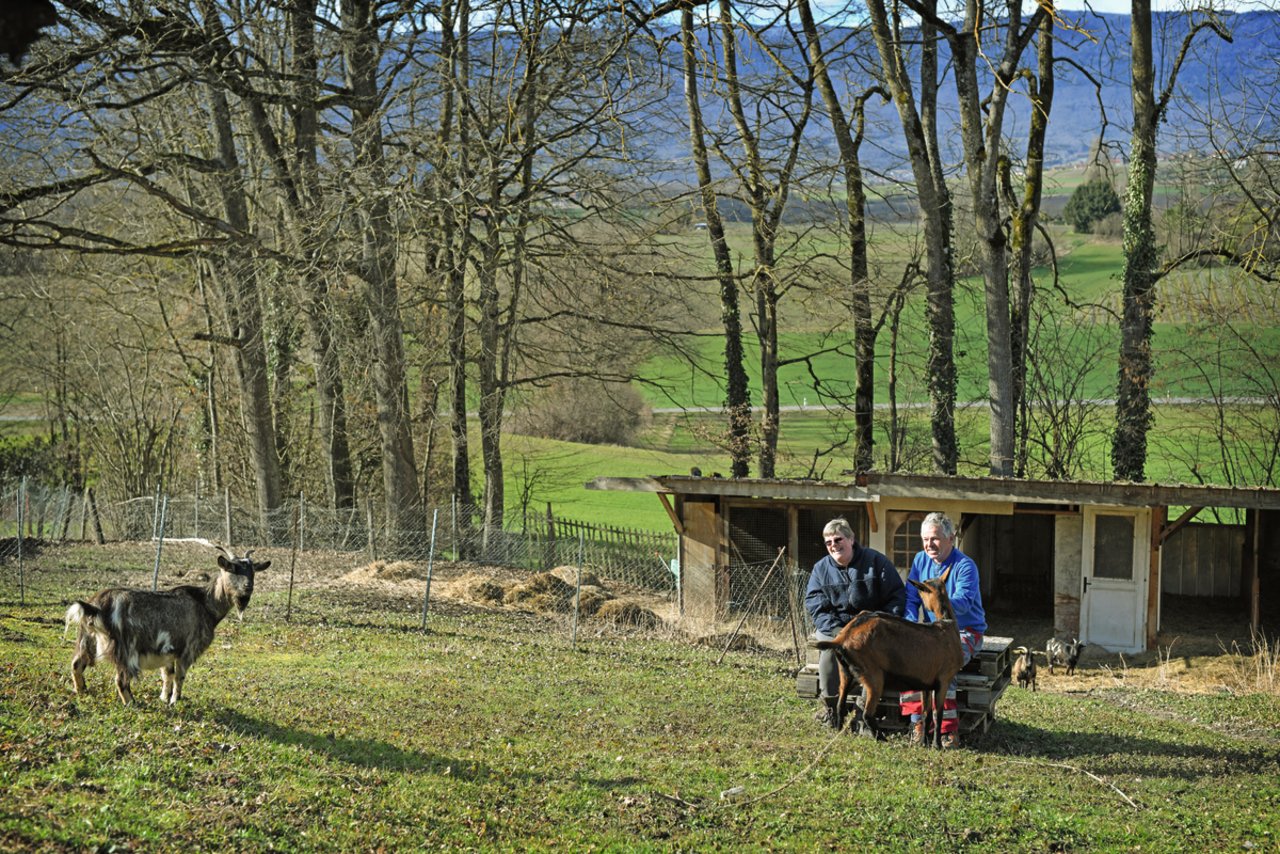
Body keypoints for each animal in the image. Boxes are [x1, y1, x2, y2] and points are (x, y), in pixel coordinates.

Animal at [65, 547, 270, 706]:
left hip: (86, 638)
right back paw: (132, 703)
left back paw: (82, 692)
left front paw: (164, 697)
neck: (205, 604)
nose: (248, 588)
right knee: (121, 680)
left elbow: (167, 675)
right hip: (125, 648)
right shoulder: (187, 649)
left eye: (253, 571)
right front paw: (174, 701)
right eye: (231, 568)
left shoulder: (168, 651)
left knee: (76, 665)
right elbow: (179, 676)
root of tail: (96, 606)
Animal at [819, 568, 962, 747]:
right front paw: (937, 745)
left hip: (847, 673)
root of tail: (842, 639)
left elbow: (926, 713)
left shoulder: (926, 684)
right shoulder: (944, 680)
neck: (947, 626)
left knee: (840, 703)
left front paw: (924, 743)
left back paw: (840, 732)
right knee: (867, 713)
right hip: (874, 676)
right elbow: (938, 713)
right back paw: (882, 738)